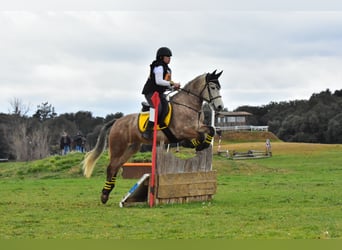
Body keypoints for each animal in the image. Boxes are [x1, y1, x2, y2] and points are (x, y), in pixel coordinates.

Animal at [82, 70, 224, 203]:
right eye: (212, 87)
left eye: (219, 87)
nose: (219, 106)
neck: (187, 106)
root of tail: (117, 121)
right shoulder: (182, 131)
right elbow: (200, 135)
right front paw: (199, 145)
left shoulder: (197, 126)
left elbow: (211, 129)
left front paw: (197, 144)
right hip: (118, 147)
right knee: (111, 167)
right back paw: (105, 195)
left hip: (131, 148)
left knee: (116, 166)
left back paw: (108, 191)